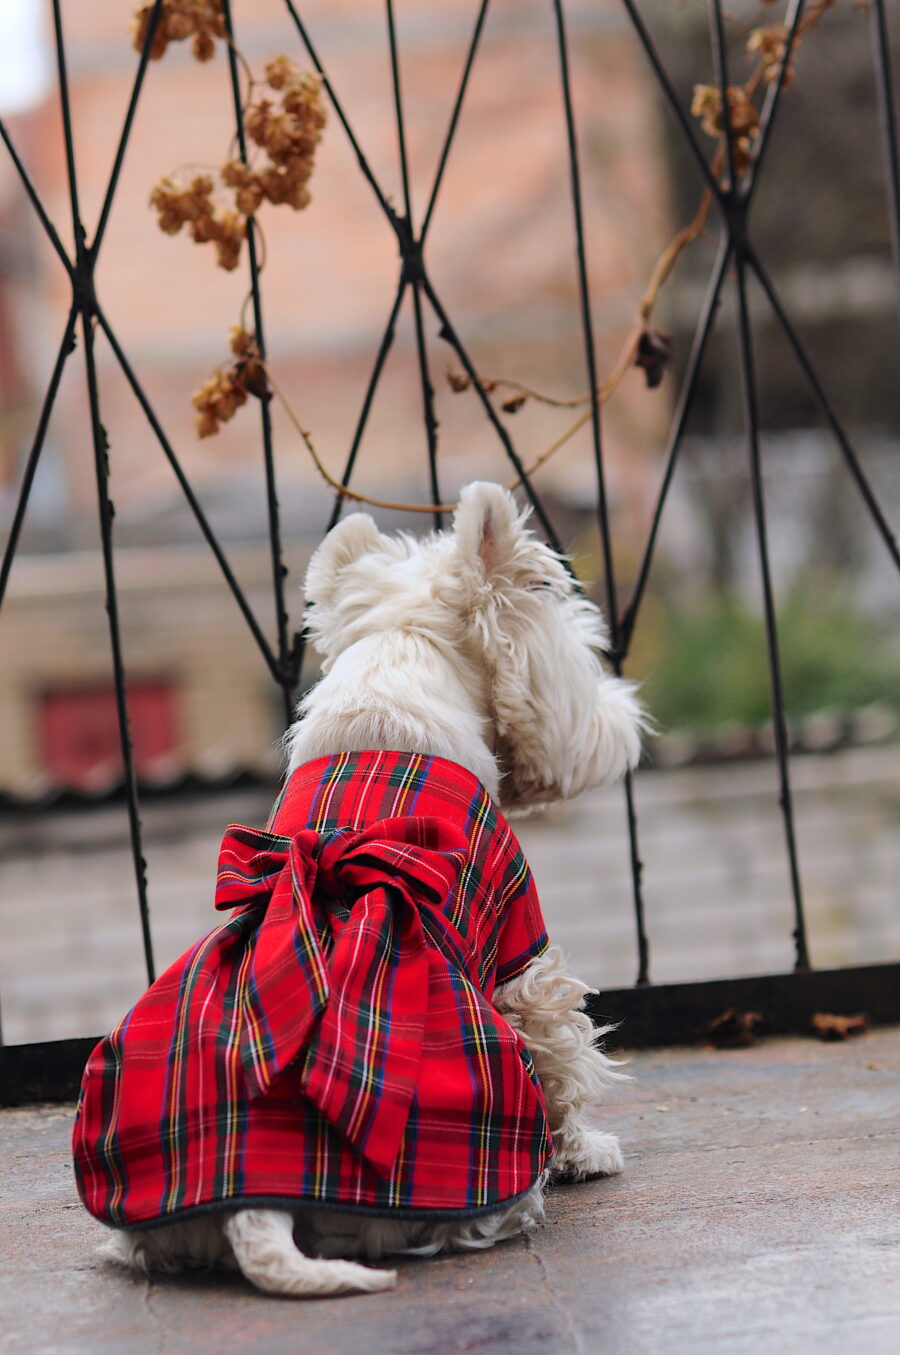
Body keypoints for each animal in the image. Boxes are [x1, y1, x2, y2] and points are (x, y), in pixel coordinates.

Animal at [73, 482, 642, 1295]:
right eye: (583, 657)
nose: (626, 720)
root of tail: (256, 1201)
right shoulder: (519, 945)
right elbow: (561, 1045)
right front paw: (586, 1151)